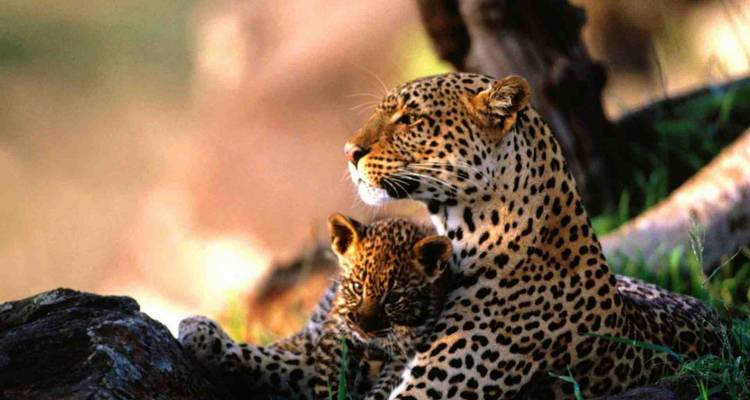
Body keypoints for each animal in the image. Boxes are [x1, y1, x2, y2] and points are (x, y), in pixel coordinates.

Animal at [179, 214, 453, 400]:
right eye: (357, 287)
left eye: (394, 298)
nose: (363, 328)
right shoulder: (315, 335)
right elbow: (280, 349)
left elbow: (281, 363)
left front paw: (205, 335)